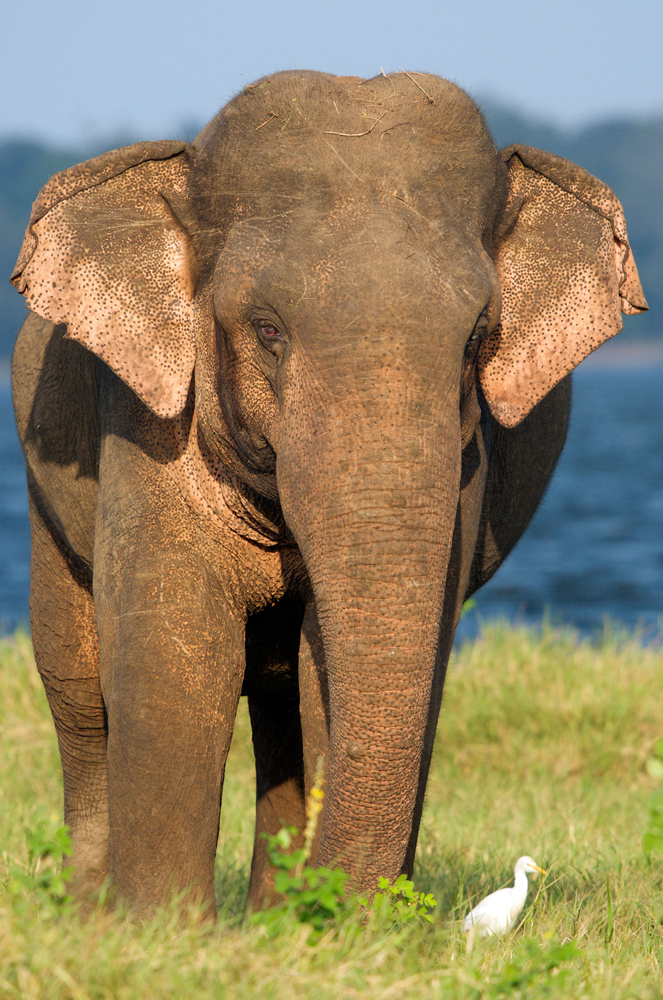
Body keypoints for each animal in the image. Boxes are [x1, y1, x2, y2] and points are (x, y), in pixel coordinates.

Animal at [10, 68, 648, 916]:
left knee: (282, 704)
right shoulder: (142, 421)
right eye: (267, 331)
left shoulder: (464, 466)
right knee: (77, 689)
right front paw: (162, 930)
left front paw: (323, 927)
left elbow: (354, 674)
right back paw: (94, 911)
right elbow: (178, 648)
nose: (340, 905)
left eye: (478, 340)